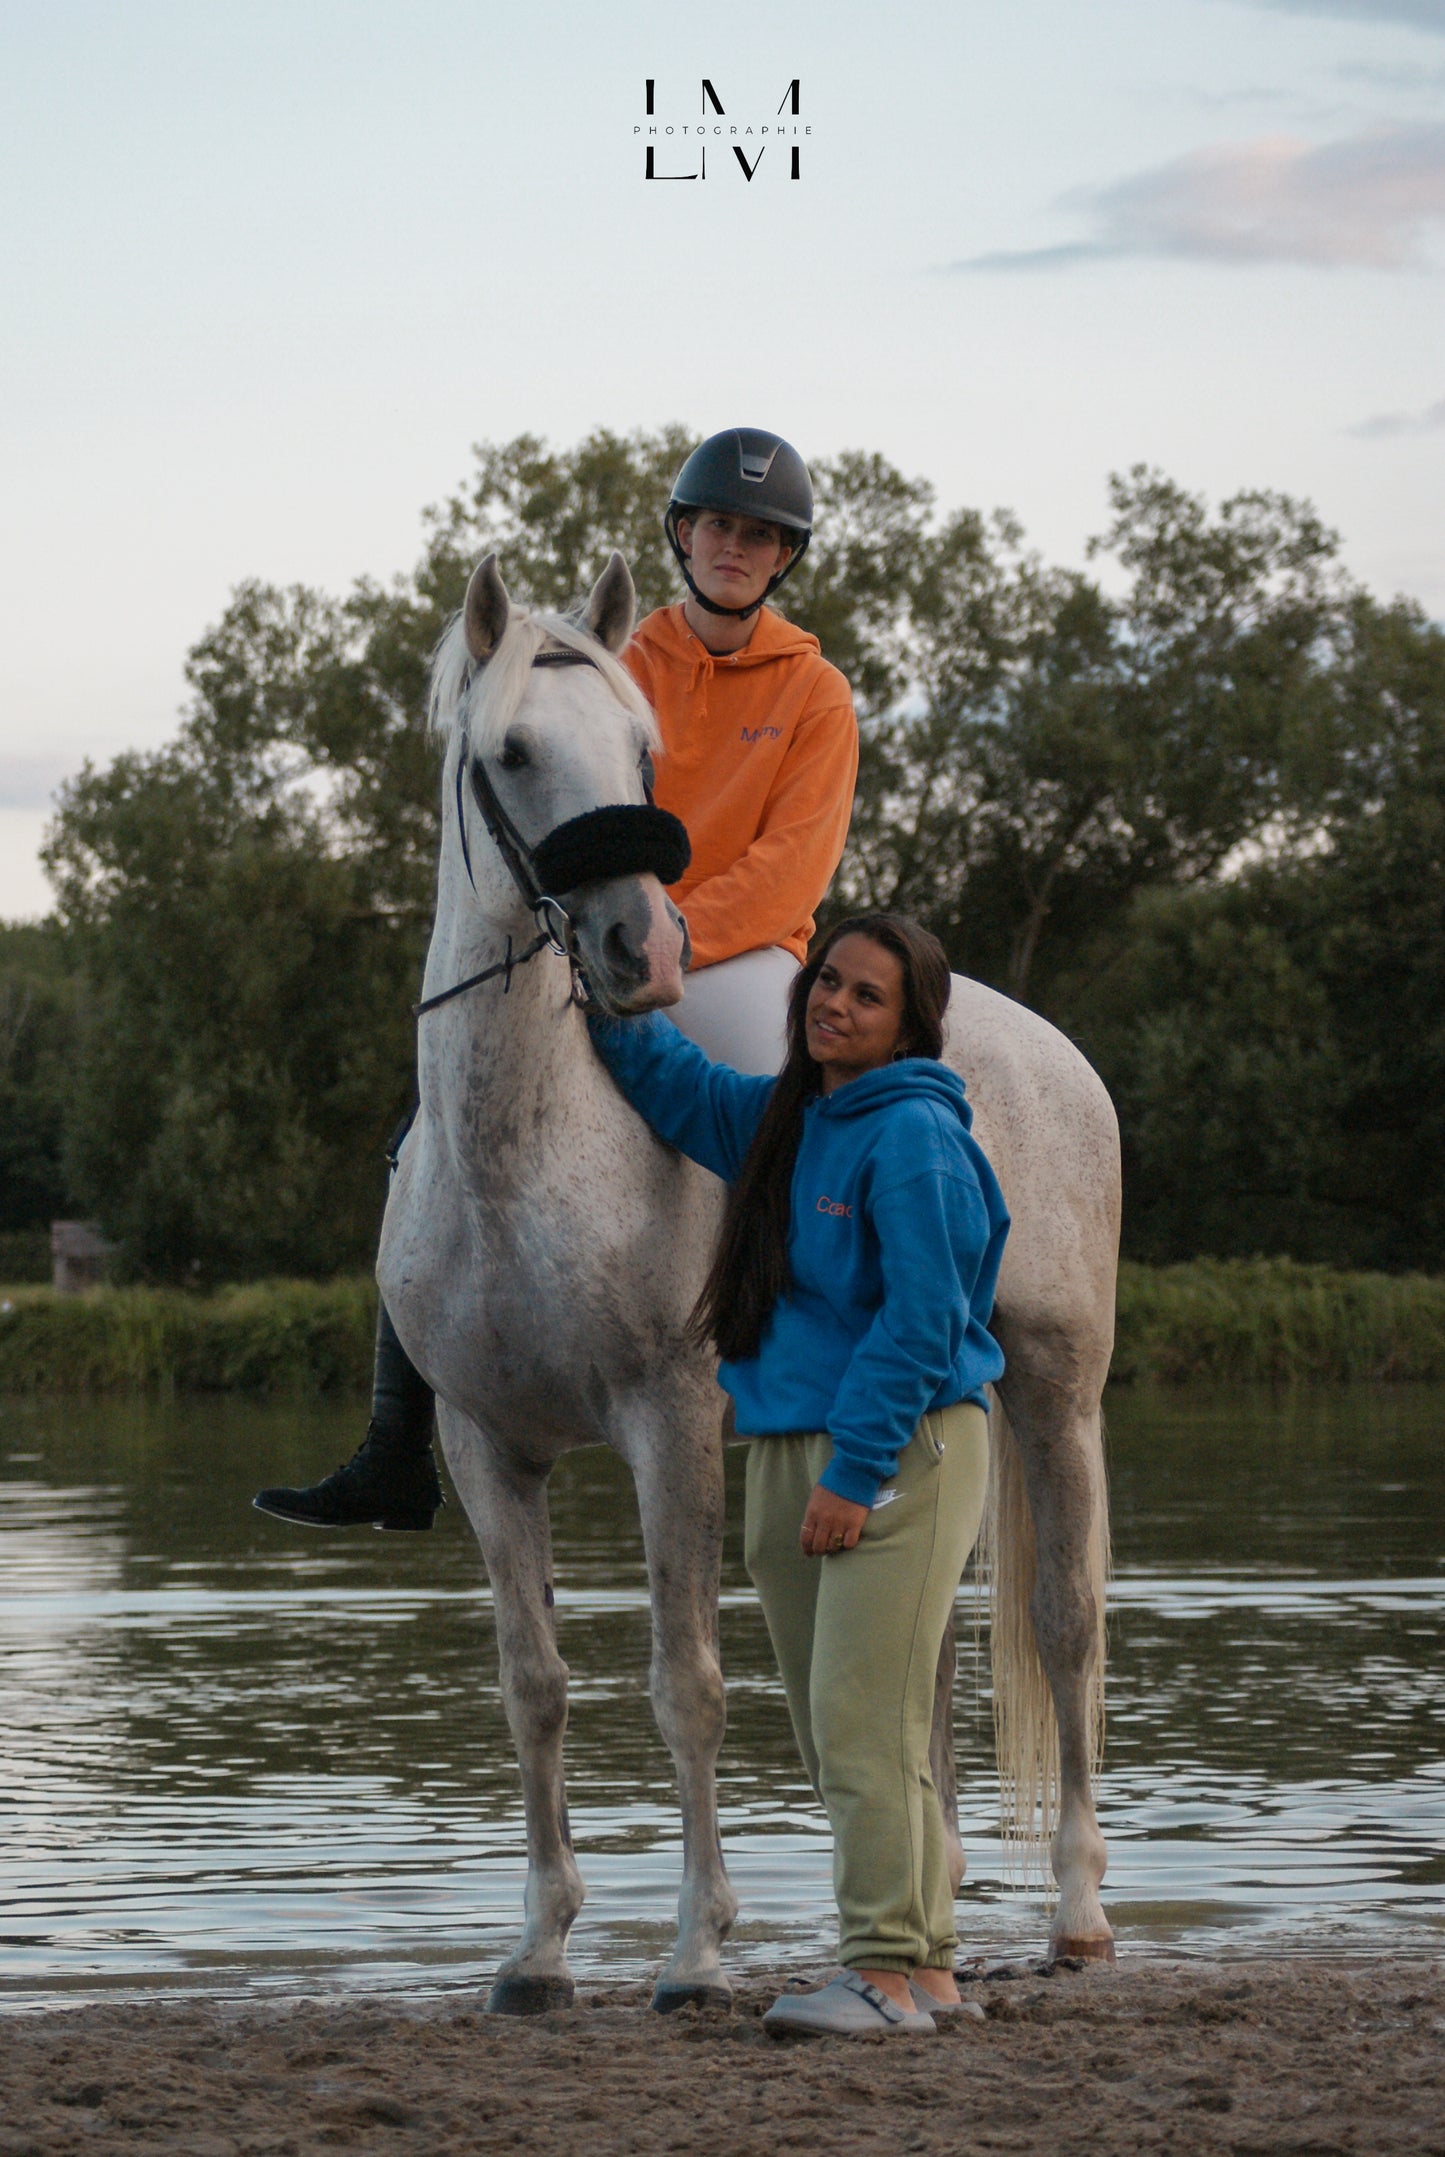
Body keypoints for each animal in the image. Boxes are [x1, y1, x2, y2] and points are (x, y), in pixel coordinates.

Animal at [381, 547, 1121, 2010]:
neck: (523, 1148)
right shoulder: (486, 1443)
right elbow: (534, 1685)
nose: (641, 951)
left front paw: (694, 1952)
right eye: (511, 752)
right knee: (920, 1662)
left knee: (1064, 1626)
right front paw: (538, 1948)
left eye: (641, 754)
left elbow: (688, 1685)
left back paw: (1073, 1914)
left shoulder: (667, 1424)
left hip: (1056, 1395)